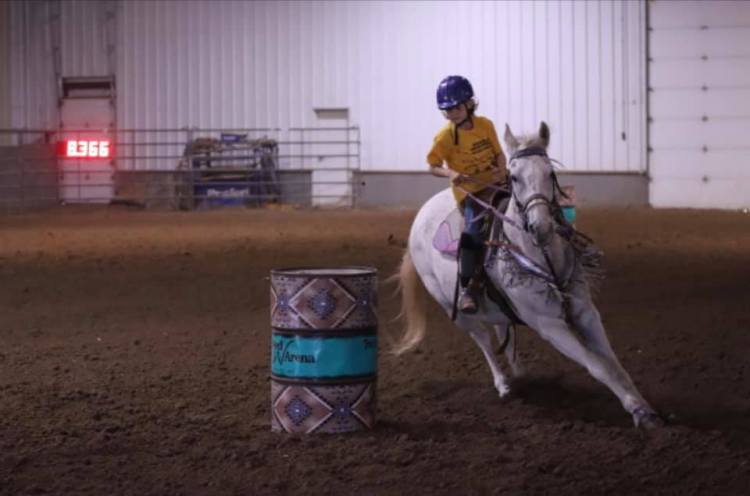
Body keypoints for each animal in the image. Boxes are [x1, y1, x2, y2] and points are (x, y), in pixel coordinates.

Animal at [392, 122, 663, 429]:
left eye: (550, 172)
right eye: (515, 177)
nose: (540, 227)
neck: (543, 258)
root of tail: (420, 216)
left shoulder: (586, 312)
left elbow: (614, 362)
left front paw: (643, 408)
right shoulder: (549, 325)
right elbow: (598, 366)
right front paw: (637, 410)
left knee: (502, 328)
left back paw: (521, 374)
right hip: (453, 307)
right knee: (482, 338)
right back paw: (503, 384)